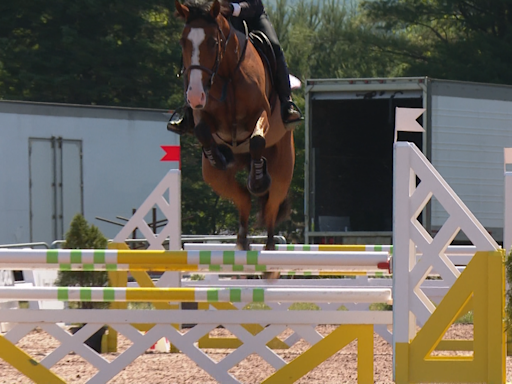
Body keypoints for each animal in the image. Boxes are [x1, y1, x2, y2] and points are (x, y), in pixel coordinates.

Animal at [176, 0, 296, 254]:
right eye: (183, 42)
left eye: (213, 42)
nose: (193, 95)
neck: (227, 73)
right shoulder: (203, 113)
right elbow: (202, 130)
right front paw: (219, 156)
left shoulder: (261, 114)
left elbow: (257, 139)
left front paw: (258, 178)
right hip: (214, 178)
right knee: (243, 198)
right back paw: (242, 239)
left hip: (283, 170)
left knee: (270, 207)